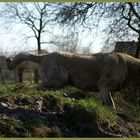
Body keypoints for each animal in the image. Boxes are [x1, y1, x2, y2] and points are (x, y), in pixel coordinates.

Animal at [6, 52, 140, 107]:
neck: (129, 66)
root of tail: (44, 56)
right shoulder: (103, 86)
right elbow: (109, 104)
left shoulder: (107, 90)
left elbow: (111, 103)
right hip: (60, 79)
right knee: (38, 87)